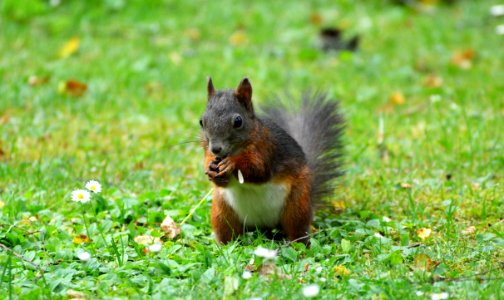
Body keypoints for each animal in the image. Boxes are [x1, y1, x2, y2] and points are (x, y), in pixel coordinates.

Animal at [199, 78, 344, 245]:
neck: (234, 151)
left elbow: (259, 171)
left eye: (238, 121)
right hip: (222, 212)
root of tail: (263, 226)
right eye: (201, 121)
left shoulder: (266, 149)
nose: (215, 149)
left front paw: (232, 164)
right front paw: (210, 169)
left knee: (297, 230)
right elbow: (221, 180)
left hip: (297, 204)